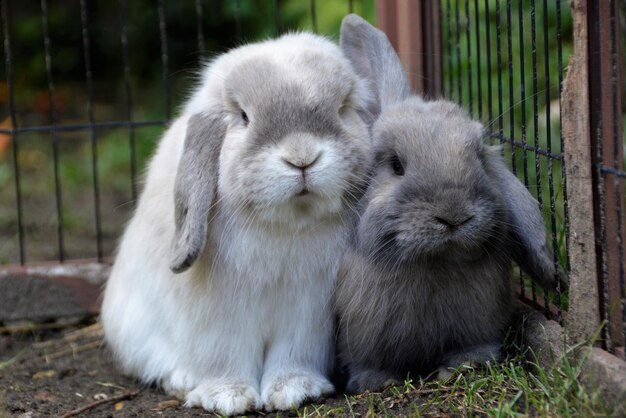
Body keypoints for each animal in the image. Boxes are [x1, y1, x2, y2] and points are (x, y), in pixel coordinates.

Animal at [100, 32, 368, 414]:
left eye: (343, 108)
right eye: (243, 117)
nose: (302, 158)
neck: (286, 225)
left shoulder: (307, 317)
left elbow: (293, 356)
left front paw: (294, 391)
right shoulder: (220, 319)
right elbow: (223, 357)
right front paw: (227, 398)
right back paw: (182, 381)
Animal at [334, 14, 560, 394]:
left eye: (478, 157)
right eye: (396, 165)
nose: (453, 216)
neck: (434, 262)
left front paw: (466, 365)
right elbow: (368, 363)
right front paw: (376, 382)